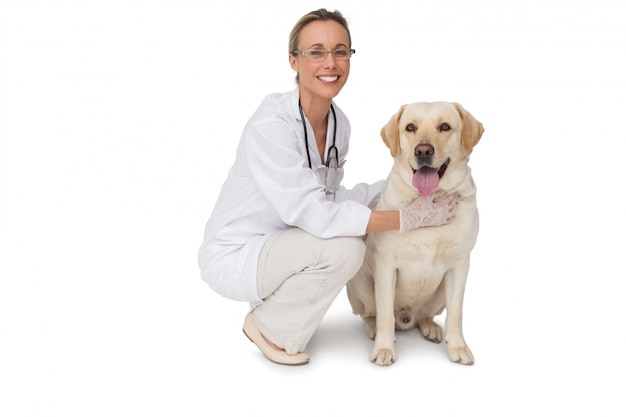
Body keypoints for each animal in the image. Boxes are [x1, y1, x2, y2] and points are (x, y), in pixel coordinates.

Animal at [346, 101, 482, 364]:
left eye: (444, 126)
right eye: (410, 127)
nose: (423, 151)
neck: (430, 198)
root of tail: (406, 317)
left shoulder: (460, 265)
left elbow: (456, 314)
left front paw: (458, 348)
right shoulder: (386, 264)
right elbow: (385, 314)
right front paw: (384, 349)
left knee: (424, 316)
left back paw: (430, 327)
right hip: (360, 280)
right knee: (372, 313)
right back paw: (373, 327)